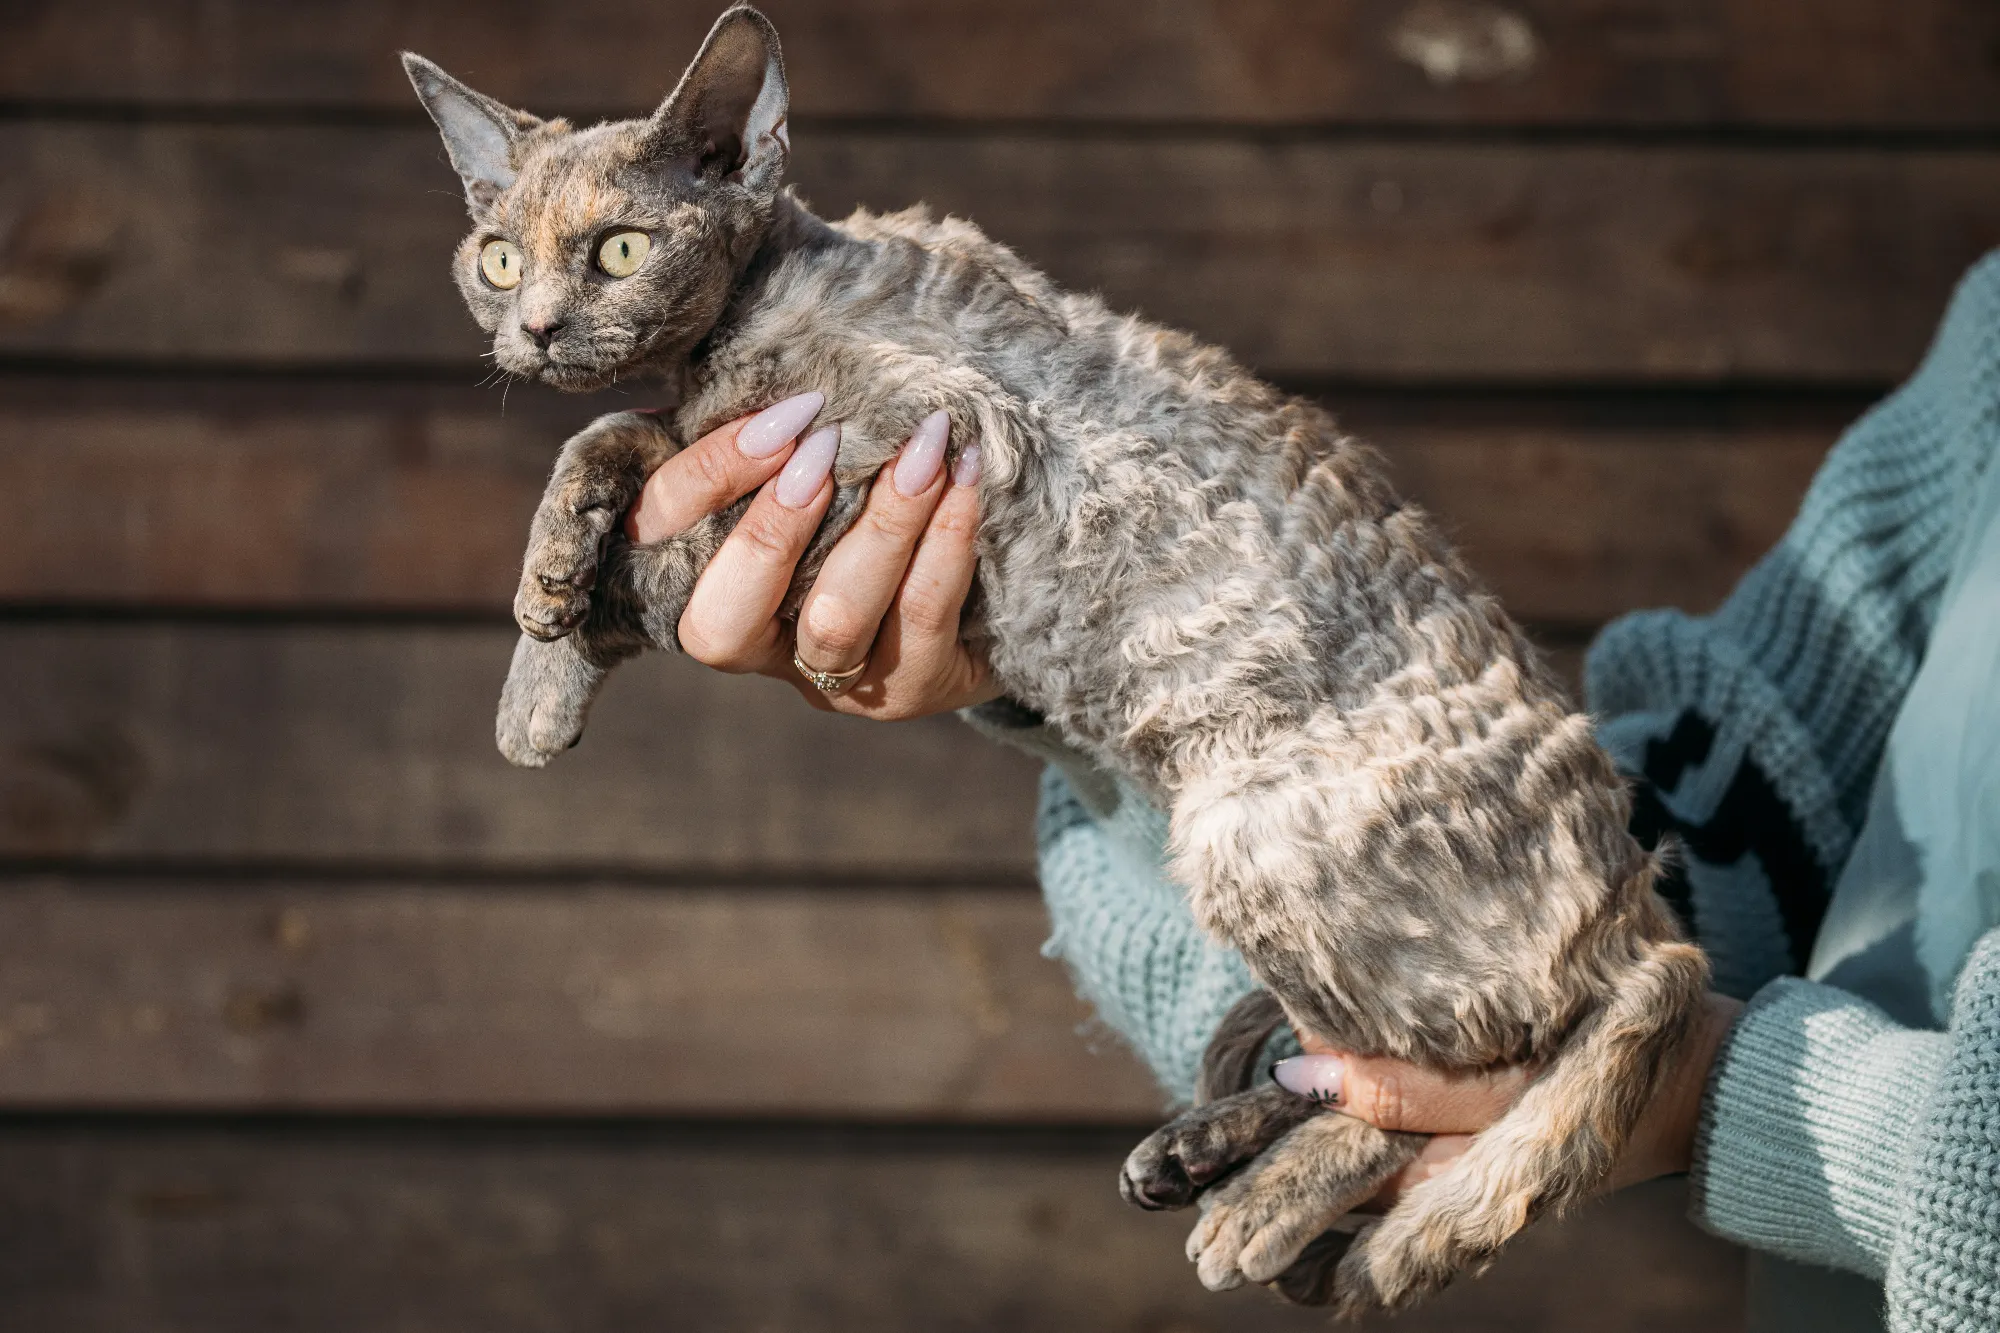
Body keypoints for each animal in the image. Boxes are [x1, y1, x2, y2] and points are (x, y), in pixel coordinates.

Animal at [402, 10, 1704, 1312]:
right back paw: (1199, 1147)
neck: (759, 304)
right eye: (498, 260)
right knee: (1357, 1055)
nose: (536, 328)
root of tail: (1640, 912)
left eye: (620, 249)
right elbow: (625, 441)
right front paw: (540, 655)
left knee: (1444, 1080)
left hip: (1248, 827)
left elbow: (657, 501)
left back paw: (1259, 1205)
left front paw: (573, 611)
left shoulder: (932, 437)